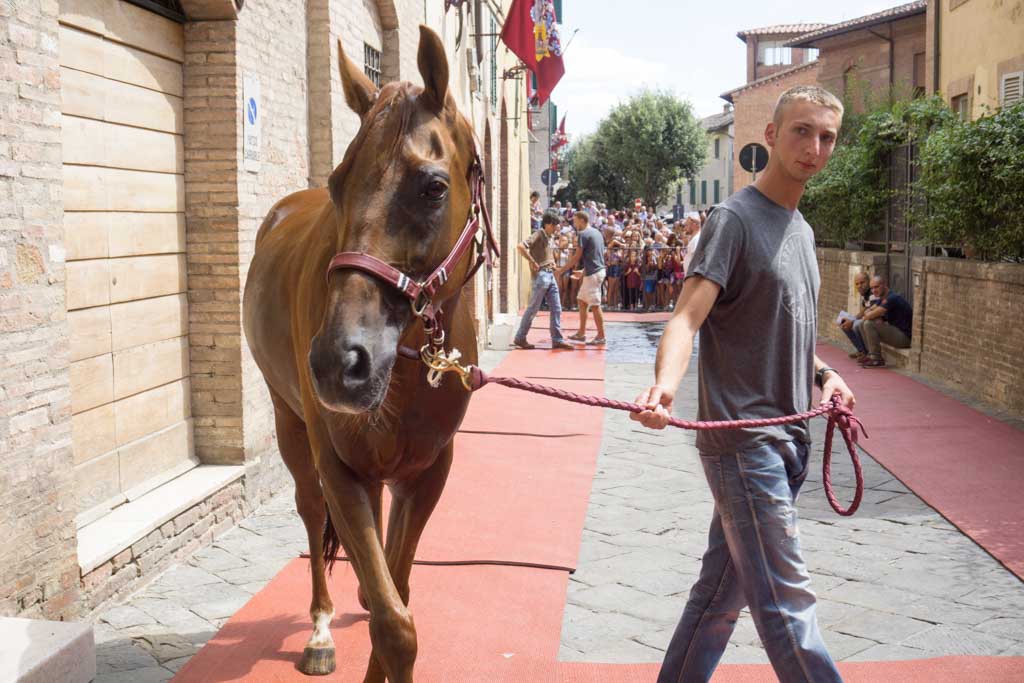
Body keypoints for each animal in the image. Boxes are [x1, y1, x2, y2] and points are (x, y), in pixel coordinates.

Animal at [241, 26, 493, 683]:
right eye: (337, 184)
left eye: (433, 186)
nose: (337, 363)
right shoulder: (339, 467)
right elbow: (394, 624)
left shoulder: (426, 472)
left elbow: (396, 597)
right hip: (290, 425)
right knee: (310, 513)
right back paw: (322, 626)